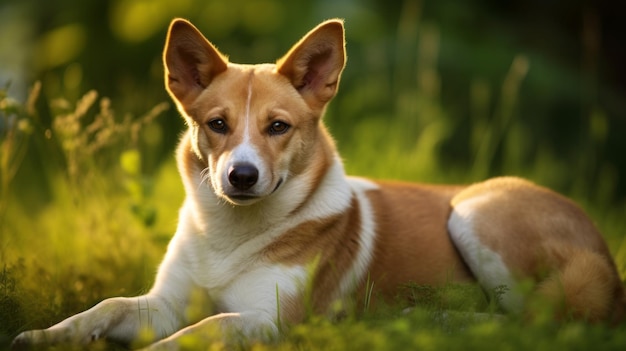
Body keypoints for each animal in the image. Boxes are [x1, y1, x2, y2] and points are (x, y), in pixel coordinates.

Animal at [12, 17, 620, 350]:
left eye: (278, 127)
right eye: (218, 125)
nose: (241, 175)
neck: (230, 235)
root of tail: (606, 256)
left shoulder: (267, 323)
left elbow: (196, 334)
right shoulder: (163, 304)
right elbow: (105, 307)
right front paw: (45, 336)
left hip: (476, 210)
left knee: (538, 325)